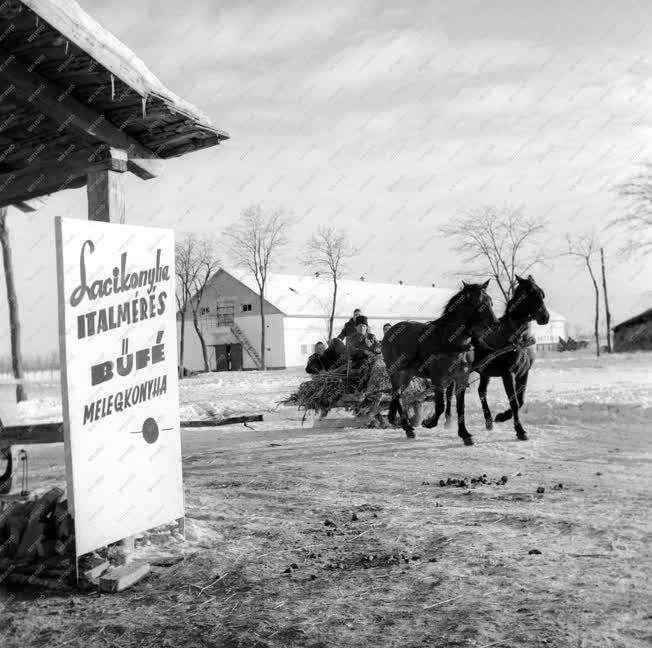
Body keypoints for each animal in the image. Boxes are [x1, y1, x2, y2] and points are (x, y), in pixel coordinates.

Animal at [380, 280, 496, 442]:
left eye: (490, 301)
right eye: (477, 303)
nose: (495, 323)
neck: (451, 341)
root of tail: (390, 331)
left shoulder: (461, 378)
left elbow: (460, 406)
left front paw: (464, 433)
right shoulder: (438, 379)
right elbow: (440, 406)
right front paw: (429, 422)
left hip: (407, 374)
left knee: (399, 395)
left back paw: (398, 421)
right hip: (395, 371)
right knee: (397, 394)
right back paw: (405, 426)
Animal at [446, 274, 548, 440]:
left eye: (541, 293)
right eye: (529, 294)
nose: (545, 317)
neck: (518, 339)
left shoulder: (524, 373)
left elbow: (520, 401)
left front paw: (502, 416)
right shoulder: (508, 374)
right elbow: (514, 402)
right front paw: (520, 430)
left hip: (484, 372)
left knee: (481, 391)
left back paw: (488, 421)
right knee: (449, 392)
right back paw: (448, 420)